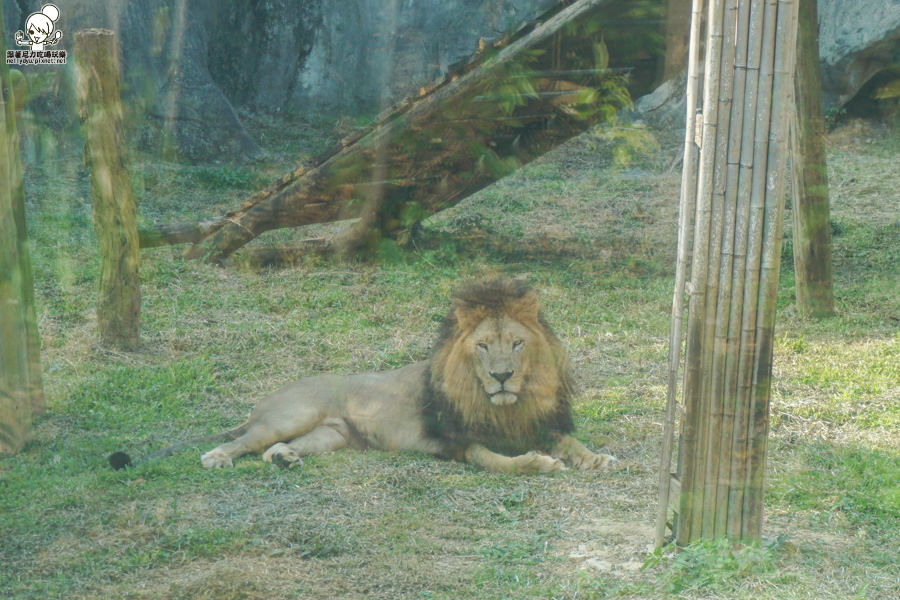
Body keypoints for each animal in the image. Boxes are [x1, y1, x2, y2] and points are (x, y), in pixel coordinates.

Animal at [109, 280, 616, 474]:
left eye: (516, 343)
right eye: (484, 346)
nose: (504, 376)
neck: (505, 407)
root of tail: (261, 402)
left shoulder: (539, 423)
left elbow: (569, 440)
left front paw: (597, 458)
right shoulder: (457, 443)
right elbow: (496, 461)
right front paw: (538, 463)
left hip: (331, 435)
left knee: (276, 448)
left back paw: (285, 459)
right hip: (293, 414)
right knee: (246, 441)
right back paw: (217, 456)